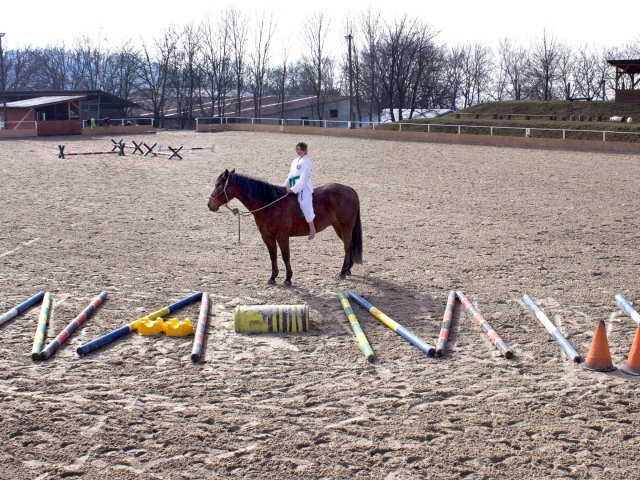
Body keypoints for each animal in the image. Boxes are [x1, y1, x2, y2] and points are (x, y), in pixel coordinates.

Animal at [208, 169, 362, 284]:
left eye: (218, 185)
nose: (210, 205)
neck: (271, 203)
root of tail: (350, 190)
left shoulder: (282, 235)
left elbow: (285, 255)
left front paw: (288, 279)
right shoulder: (266, 236)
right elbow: (273, 255)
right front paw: (272, 277)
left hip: (346, 227)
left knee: (347, 247)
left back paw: (342, 272)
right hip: (338, 227)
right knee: (349, 245)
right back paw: (348, 270)